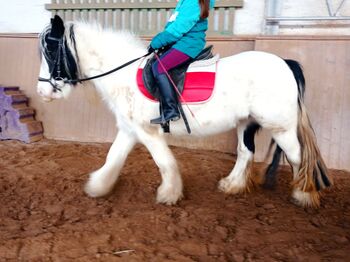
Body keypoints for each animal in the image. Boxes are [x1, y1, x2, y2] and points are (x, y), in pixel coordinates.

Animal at [37, 15, 330, 209]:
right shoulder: (130, 129)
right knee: (246, 152)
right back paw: (232, 186)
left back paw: (304, 195)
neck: (123, 73)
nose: (42, 92)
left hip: (281, 127)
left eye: (50, 50)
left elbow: (164, 162)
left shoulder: (147, 130)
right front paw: (98, 186)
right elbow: (113, 157)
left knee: (297, 156)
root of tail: (286, 63)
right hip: (246, 123)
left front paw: (169, 194)